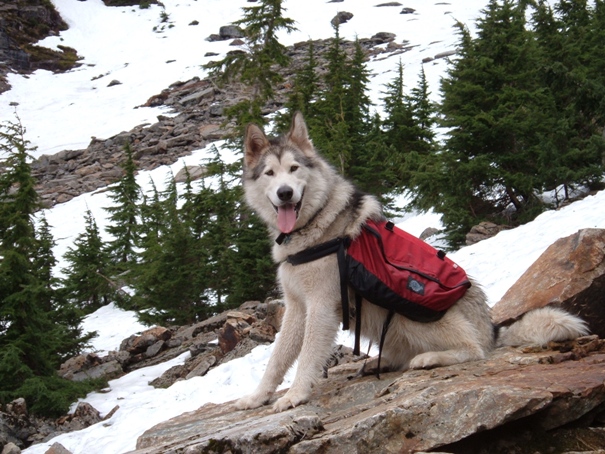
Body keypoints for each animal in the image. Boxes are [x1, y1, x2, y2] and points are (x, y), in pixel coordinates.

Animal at [236, 112, 588, 412]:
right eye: (270, 173)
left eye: (295, 169)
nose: (285, 193)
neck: (312, 228)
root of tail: (491, 329)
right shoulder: (297, 307)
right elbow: (278, 358)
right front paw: (257, 397)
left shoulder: (322, 306)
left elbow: (308, 355)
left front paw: (295, 395)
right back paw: (383, 362)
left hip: (410, 314)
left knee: (474, 350)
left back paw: (429, 358)